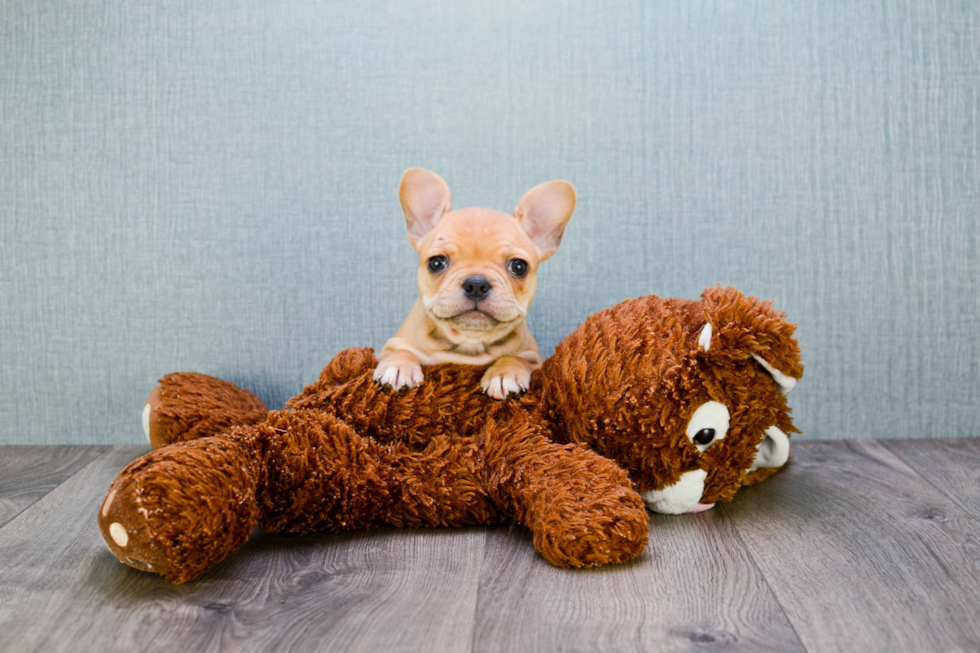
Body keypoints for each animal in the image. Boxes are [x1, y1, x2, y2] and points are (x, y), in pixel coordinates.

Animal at [374, 167, 576, 398]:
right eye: (436, 262)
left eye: (519, 266)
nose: (477, 284)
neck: (469, 342)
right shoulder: (388, 348)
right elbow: (400, 351)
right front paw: (398, 367)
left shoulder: (534, 359)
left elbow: (515, 358)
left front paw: (504, 374)